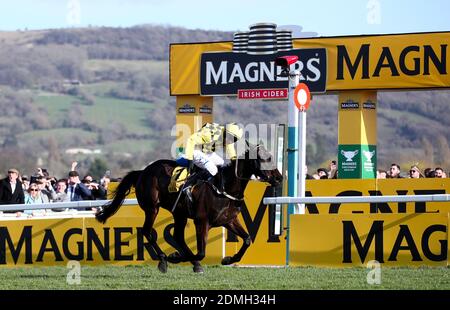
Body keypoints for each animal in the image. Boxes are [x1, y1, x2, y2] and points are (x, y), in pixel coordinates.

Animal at [96, 144, 282, 272]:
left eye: (271, 157)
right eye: (265, 159)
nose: (280, 178)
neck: (224, 188)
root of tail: (142, 172)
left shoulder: (228, 220)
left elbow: (247, 239)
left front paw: (228, 259)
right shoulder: (202, 221)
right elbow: (201, 252)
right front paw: (175, 257)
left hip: (179, 213)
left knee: (177, 236)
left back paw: (190, 263)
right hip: (152, 208)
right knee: (148, 231)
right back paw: (164, 260)